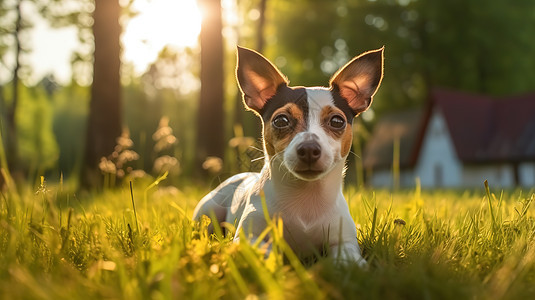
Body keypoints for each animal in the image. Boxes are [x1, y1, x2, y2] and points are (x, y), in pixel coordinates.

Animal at [195, 45, 384, 266]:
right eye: (281, 120)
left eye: (337, 121)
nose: (309, 148)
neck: (306, 197)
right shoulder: (250, 237)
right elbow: (262, 252)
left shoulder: (344, 242)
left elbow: (350, 261)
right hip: (208, 212)